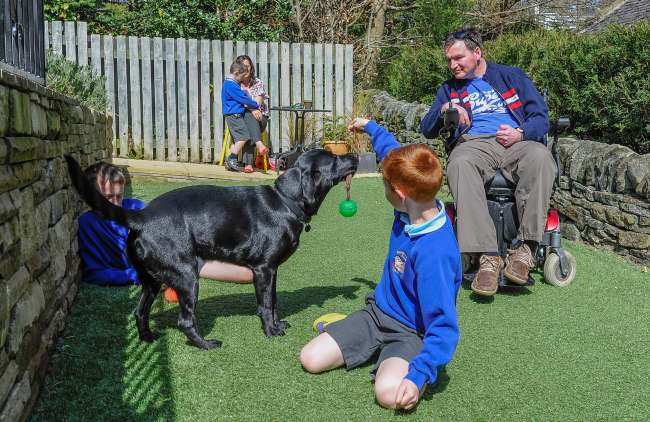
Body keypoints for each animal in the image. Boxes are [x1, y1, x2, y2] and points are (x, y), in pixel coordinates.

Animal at [65, 150, 356, 348]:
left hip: (152, 281)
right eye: (333, 158)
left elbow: (273, 301)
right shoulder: (263, 269)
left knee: (140, 312)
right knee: (184, 321)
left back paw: (148, 338)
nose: (354, 154)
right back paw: (205, 344)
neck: (285, 202)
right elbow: (265, 305)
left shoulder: (272, 271)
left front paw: (278, 323)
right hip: (187, 276)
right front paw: (271, 331)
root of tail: (141, 217)